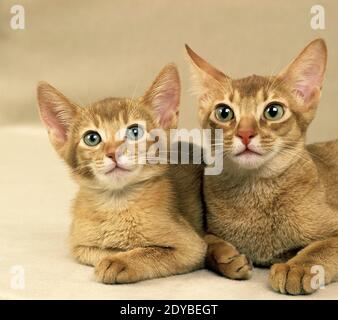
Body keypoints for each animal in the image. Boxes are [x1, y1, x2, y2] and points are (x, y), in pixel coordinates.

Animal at [37, 64, 207, 282]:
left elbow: (150, 251)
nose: (113, 153)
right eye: (91, 138)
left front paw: (120, 261)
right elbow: (102, 250)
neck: (117, 204)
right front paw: (116, 252)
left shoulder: (192, 247)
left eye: (135, 132)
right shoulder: (79, 246)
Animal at [186, 38, 338, 296]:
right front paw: (226, 256)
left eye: (273, 111)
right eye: (224, 113)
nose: (245, 134)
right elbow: (206, 240)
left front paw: (297, 267)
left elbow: (323, 246)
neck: (257, 194)